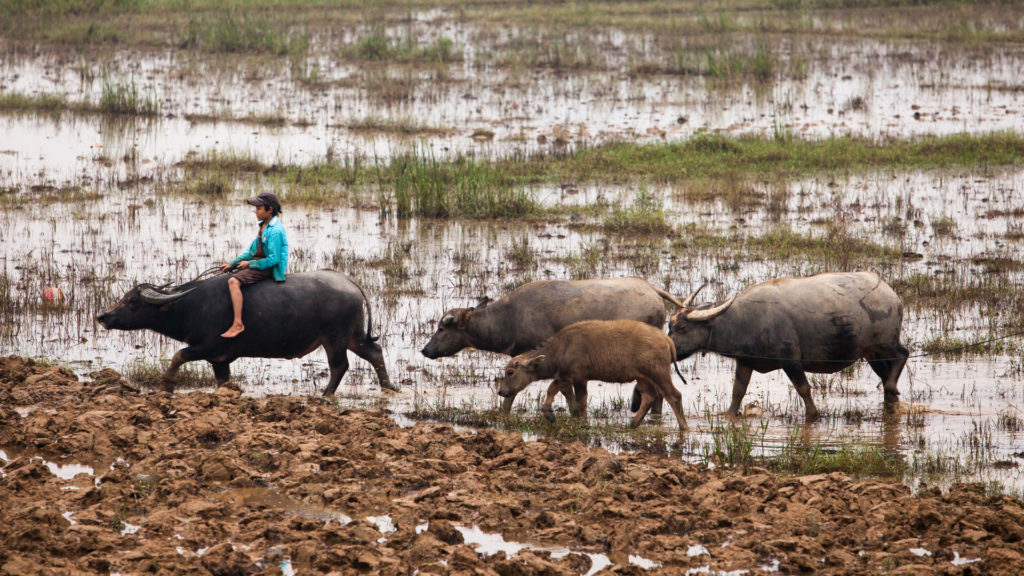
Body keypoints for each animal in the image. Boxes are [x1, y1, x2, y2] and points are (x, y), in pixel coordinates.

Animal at [497, 319, 688, 428]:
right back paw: (633, 424)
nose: (501, 391)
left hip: (658, 373)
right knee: (649, 397)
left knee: (674, 395)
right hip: (642, 377)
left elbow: (580, 402)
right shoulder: (565, 376)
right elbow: (553, 389)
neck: (561, 348)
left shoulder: (579, 378)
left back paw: (683, 427)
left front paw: (583, 424)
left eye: (510, 372)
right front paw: (549, 414)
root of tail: (666, 340)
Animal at [671, 270, 905, 420]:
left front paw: (812, 415)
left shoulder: (790, 360)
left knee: (902, 355)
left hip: (887, 343)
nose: (670, 349)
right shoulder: (745, 362)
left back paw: (892, 388)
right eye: (670, 326)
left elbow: (803, 388)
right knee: (885, 374)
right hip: (872, 353)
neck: (741, 319)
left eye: (682, 328)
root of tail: (890, 293)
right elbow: (738, 390)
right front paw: (729, 414)